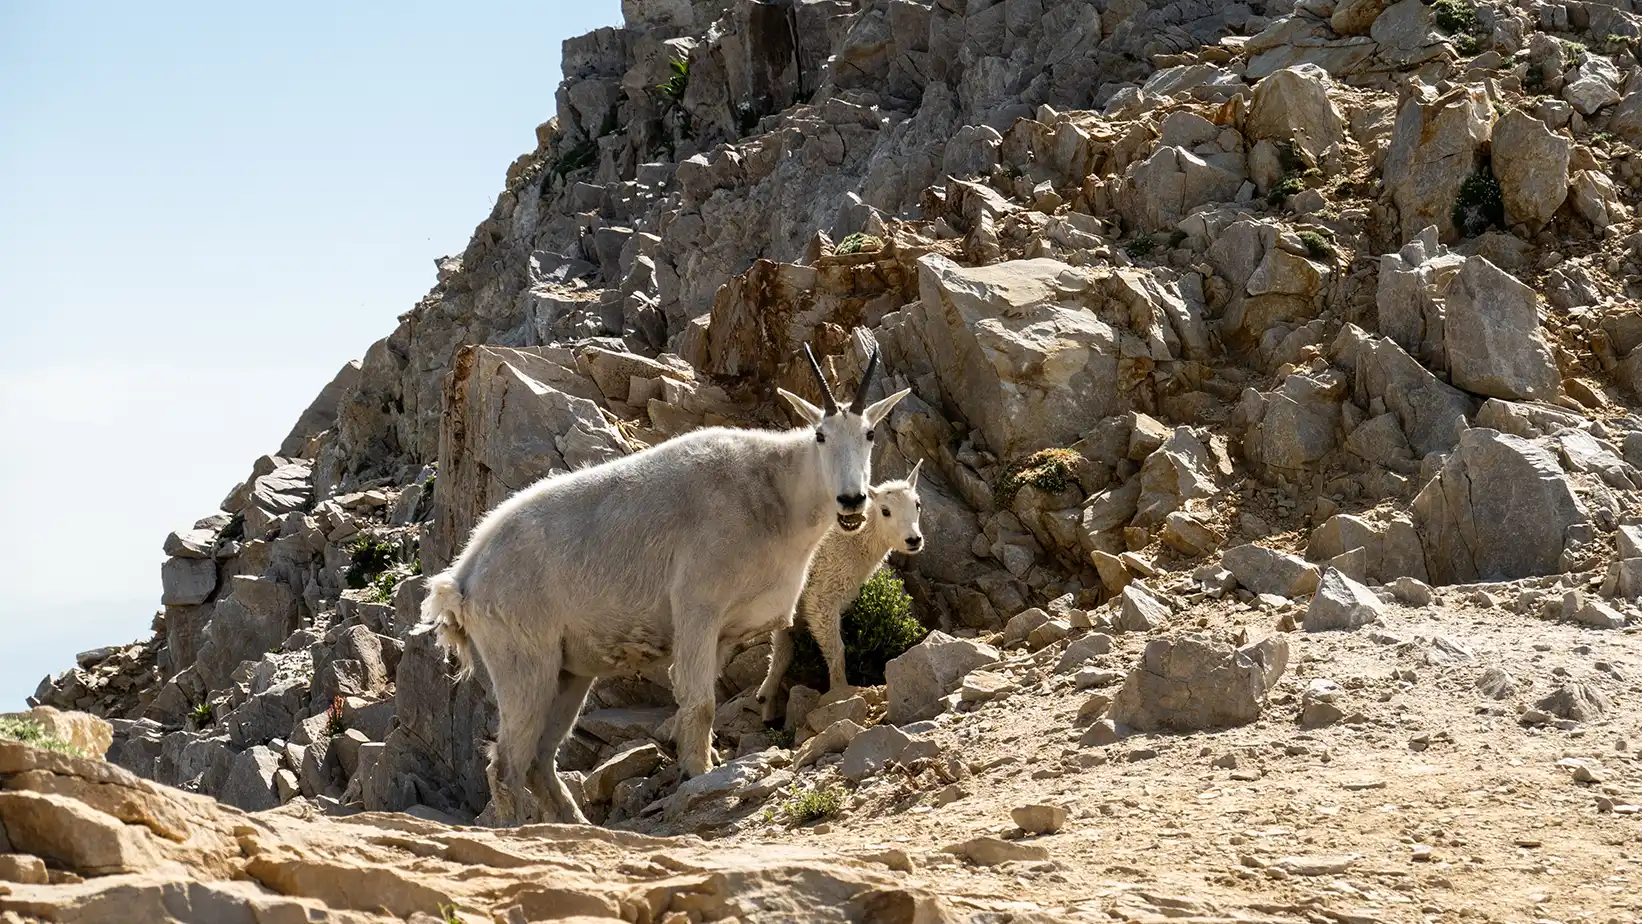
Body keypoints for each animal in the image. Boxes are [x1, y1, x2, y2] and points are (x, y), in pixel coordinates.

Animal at [755, 456, 926, 722]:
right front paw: (839, 693)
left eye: (917, 504)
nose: (913, 540)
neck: (854, 541)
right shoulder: (822, 595)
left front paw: (767, 702)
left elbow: (784, 650)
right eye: (885, 511)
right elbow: (836, 650)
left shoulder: (797, 603)